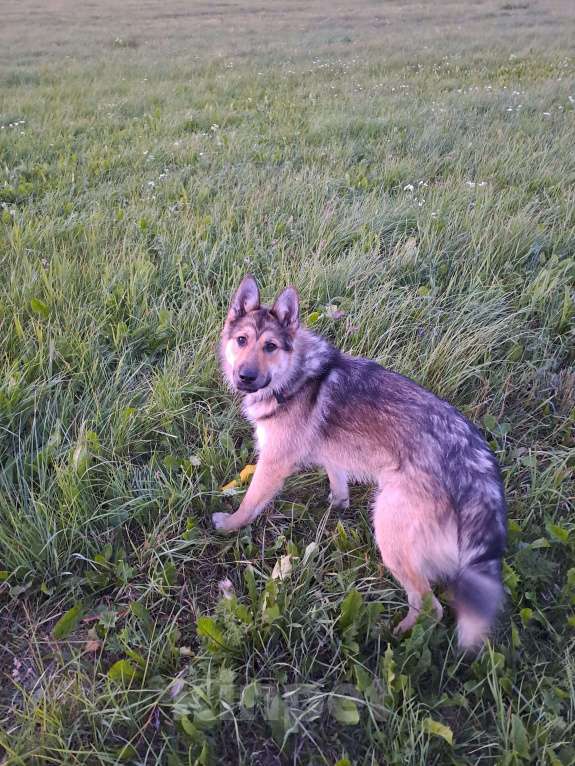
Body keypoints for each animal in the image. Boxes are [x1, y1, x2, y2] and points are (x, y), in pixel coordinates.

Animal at [215, 276, 508, 648]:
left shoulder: (272, 464)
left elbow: (250, 503)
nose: (246, 377)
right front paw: (337, 504)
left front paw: (229, 525)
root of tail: (475, 467)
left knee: (431, 606)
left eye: (270, 346)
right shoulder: (332, 453)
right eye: (242, 340)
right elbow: (337, 478)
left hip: (389, 530)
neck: (296, 376)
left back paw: (394, 637)